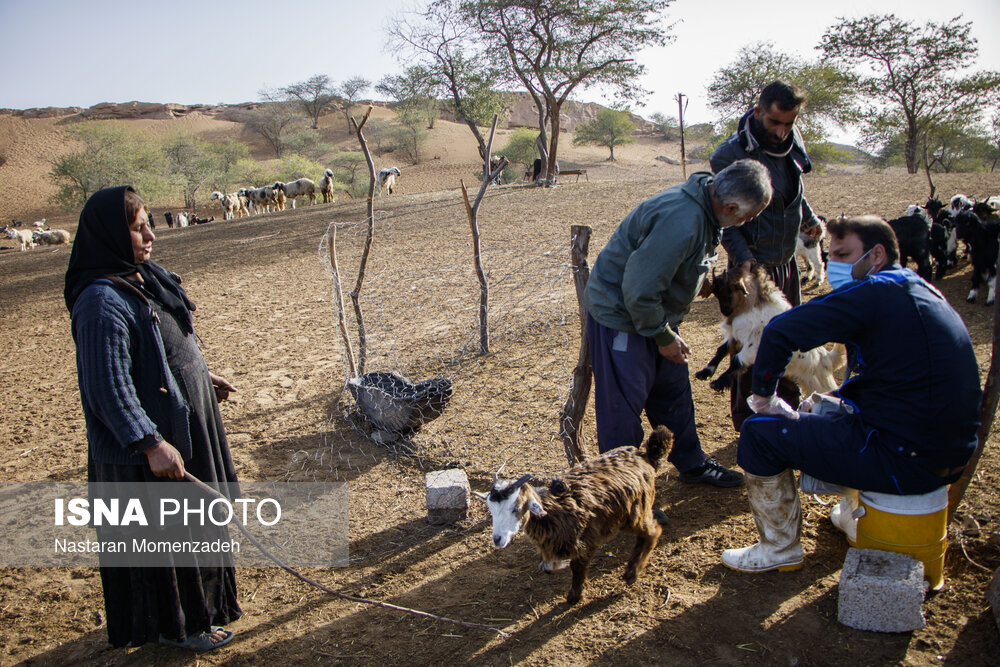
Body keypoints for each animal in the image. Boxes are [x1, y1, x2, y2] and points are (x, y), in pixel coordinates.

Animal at [474, 428, 668, 604]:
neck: (553, 512)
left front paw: (575, 596)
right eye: (491, 510)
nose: (497, 539)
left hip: (635, 512)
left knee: (652, 532)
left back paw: (632, 573)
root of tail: (643, 456)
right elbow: (546, 567)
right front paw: (556, 565)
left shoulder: (586, 541)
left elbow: (577, 567)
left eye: (516, 508)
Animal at [696, 264, 844, 396]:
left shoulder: (753, 346)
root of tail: (827, 359)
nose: (725, 311)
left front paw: (718, 383)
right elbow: (722, 350)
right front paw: (704, 373)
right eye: (716, 292)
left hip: (820, 384)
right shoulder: (736, 336)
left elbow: (737, 361)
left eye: (729, 290)